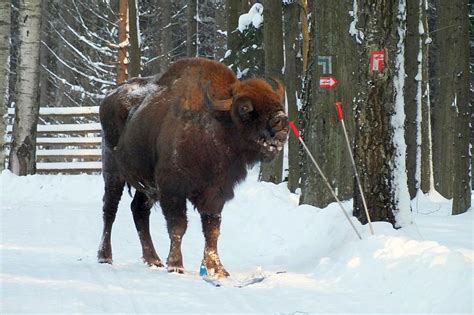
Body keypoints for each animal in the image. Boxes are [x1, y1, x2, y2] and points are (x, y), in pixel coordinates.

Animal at [98, 58, 286, 278]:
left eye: (277, 101)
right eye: (245, 107)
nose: (281, 120)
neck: (216, 124)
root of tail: (107, 99)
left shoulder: (215, 193)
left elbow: (212, 229)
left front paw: (217, 269)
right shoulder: (173, 190)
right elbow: (178, 226)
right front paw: (176, 265)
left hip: (145, 185)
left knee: (139, 211)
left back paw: (153, 260)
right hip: (113, 174)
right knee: (110, 210)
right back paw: (105, 257)